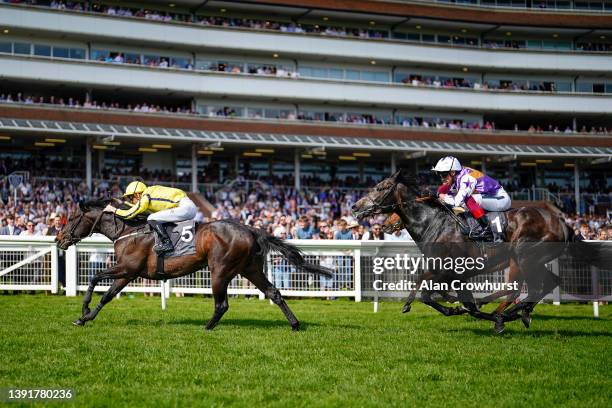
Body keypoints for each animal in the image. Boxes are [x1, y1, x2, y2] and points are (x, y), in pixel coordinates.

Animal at [56, 200, 332, 332]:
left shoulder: (128, 268)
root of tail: (251, 229)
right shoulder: (127, 273)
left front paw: (84, 309)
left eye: (72, 218)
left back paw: (207, 327)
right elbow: (107, 296)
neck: (128, 231)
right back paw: (295, 325)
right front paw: (84, 318)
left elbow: (94, 278)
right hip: (251, 269)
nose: (59, 239)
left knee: (222, 304)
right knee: (274, 293)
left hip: (219, 270)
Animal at [352, 171, 608, 334]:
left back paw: (508, 314)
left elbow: (427, 293)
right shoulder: (454, 275)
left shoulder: (449, 272)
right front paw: (461, 308)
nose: (355, 206)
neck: (433, 223)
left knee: (529, 287)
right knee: (546, 282)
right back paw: (515, 313)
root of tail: (562, 221)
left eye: (381, 188)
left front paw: (453, 308)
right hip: (530, 260)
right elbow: (461, 302)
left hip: (524, 257)